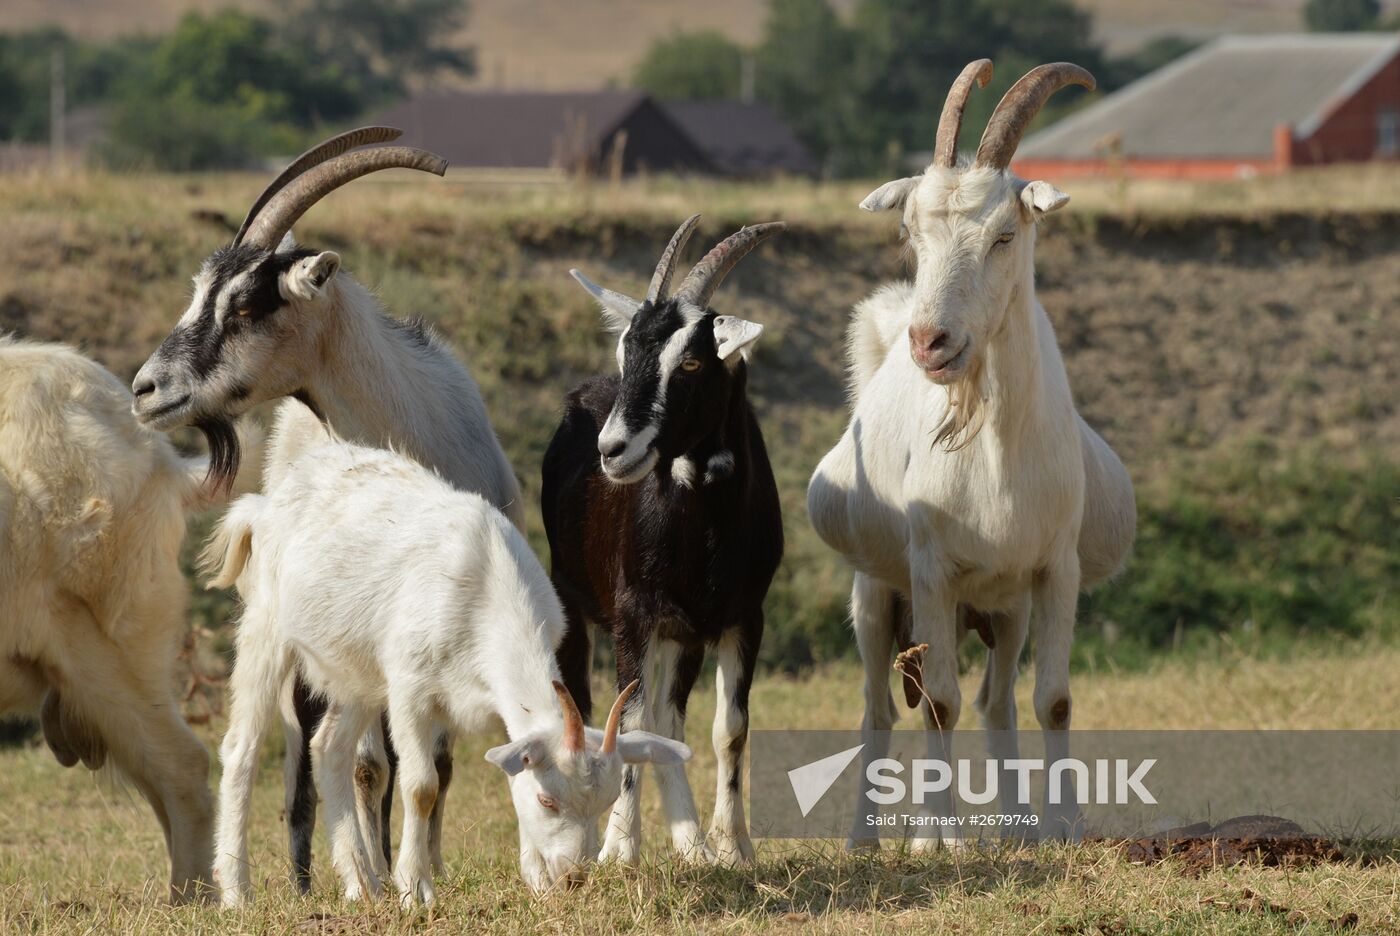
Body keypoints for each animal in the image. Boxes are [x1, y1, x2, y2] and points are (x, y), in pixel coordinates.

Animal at [130, 125, 526, 889]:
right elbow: (366, 763)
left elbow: (433, 760)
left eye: (245, 304)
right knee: (303, 748)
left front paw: (423, 866)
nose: (144, 388)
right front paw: (369, 874)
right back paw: (313, 871)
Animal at [204, 439, 691, 906]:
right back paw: (236, 890)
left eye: (606, 801)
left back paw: (362, 884)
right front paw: (415, 887)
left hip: (358, 669)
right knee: (241, 748)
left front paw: (536, 880)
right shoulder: (409, 690)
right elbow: (422, 786)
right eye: (547, 800)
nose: (572, 878)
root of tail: (265, 505)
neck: (486, 591)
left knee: (329, 748)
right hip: (266, 626)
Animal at [537, 216, 784, 861]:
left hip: (683, 635)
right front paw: (620, 850)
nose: (612, 449)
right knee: (589, 710)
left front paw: (731, 846)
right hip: (576, 603)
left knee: (671, 722)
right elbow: (629, 721)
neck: (707, 530)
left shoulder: (742, 616)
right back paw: (591, 838)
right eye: (627, 350)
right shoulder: (634, 615)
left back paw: (691, 841)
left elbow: (729, 728)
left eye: (692, 363)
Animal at [806, 60, 1131, 845]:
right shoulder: (931, 572)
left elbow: (1052, 699)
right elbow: (940, 704)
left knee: (997, 700)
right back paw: (870, 836)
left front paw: (1061, 826)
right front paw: (940, 837)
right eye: (911, 234)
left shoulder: (1054, 569)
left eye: (1005, 235)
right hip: (875, 595)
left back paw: (1015, 825)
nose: (931, 341)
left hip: (1003, 609)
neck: (996, 451)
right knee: (883, 707)